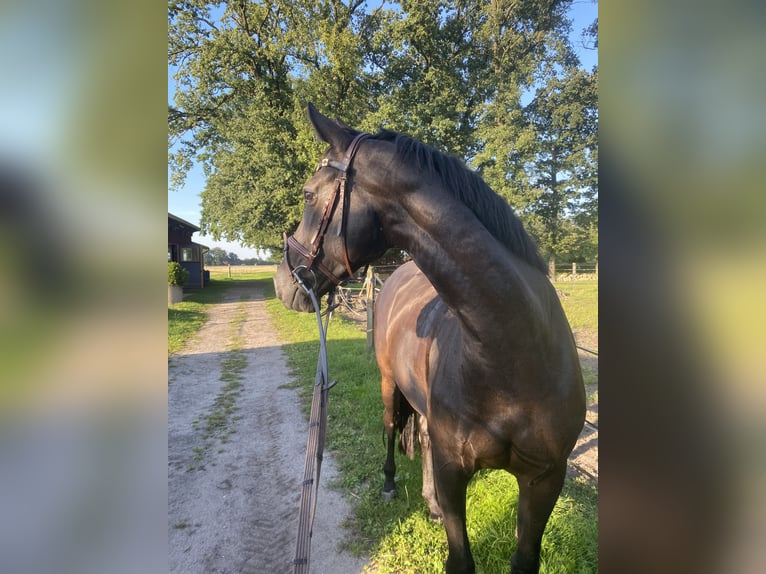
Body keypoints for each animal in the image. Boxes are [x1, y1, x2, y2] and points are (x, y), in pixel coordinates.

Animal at [276, 104, 588, 574]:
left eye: (309, 194)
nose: (282, 282)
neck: (512, 356)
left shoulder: (545, 480)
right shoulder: (452, 469)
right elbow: (460, 559)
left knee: (420, 433)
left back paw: (430, 501)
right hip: (390, 385)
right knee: (392, 428)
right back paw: (391, 485)